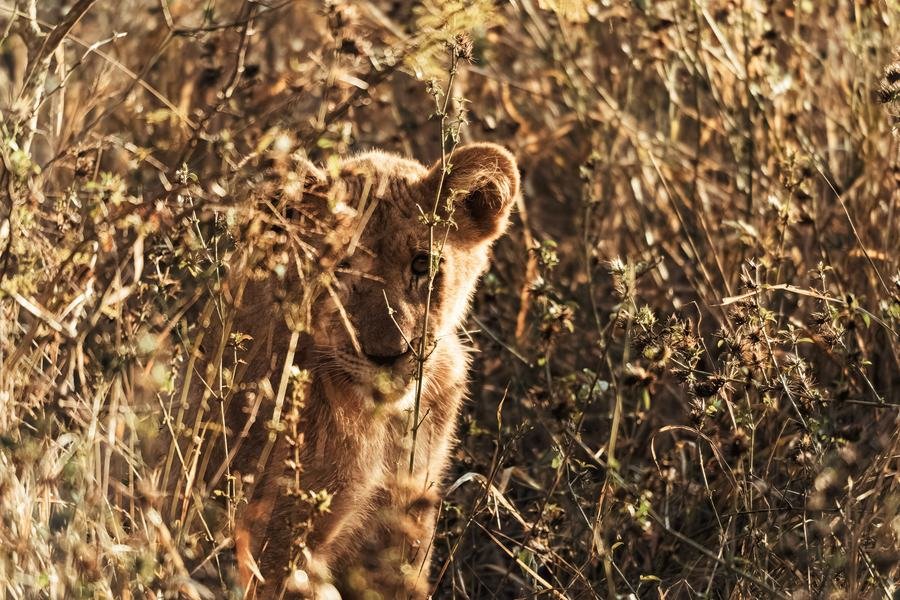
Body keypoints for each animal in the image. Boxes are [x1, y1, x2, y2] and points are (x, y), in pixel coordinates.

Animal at [165, 142, 518, 599]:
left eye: (422, 264)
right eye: (340, 266)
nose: (389, 355)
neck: (381, 426)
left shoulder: (407, 516)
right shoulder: (277, 539)